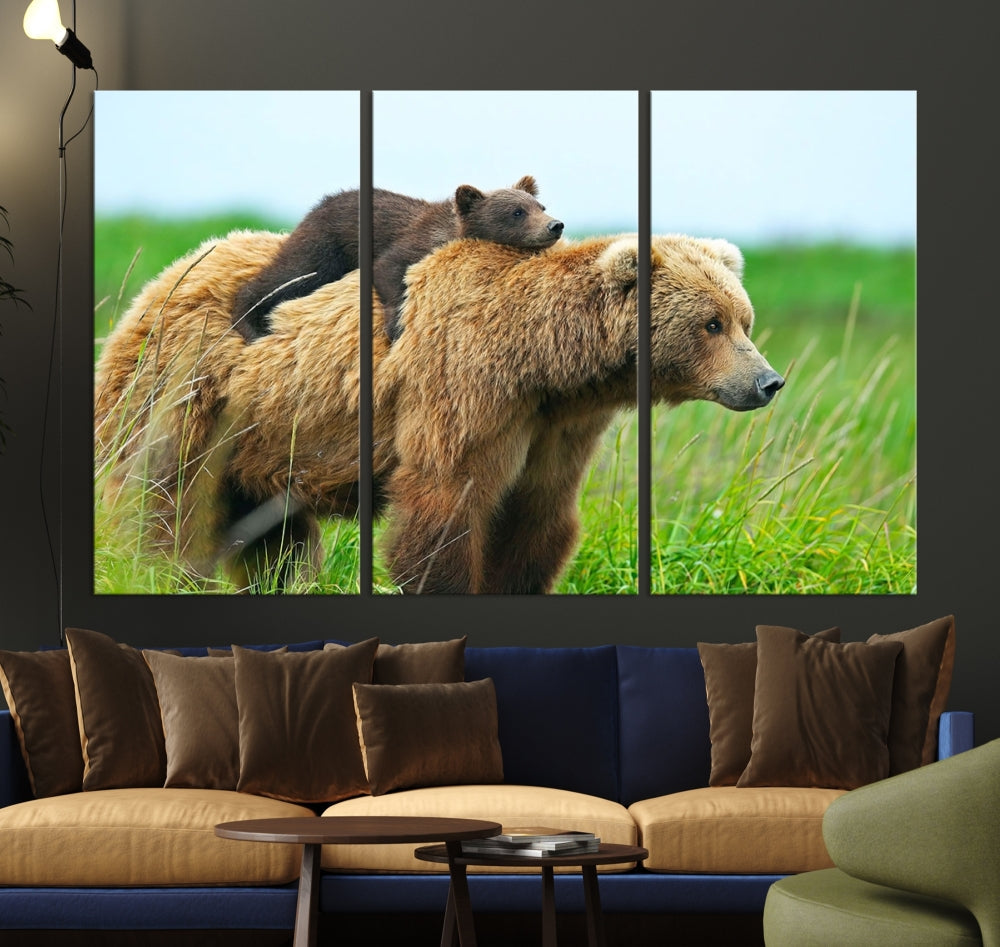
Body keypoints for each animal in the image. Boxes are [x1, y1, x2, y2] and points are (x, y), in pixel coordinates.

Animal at [94, 229, 784, 594]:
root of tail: (158, 281)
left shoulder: (555, 427)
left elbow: (536, 517)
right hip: (186, 392)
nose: (768, 381)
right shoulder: (464, 389)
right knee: (161, 497)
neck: (543, 363)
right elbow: (446, 503)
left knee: (272, 535)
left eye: (744, 319)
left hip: (262, 443)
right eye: (712, 323)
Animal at [230, 175, 564, 344]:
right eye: (517, 212)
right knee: (291, 274)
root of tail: (320, 204)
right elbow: (389, 269)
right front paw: (396, 326)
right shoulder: (412, 242)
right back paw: (249, 325)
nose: (555, 225)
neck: (450, 231)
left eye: (540, 206)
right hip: (326, 244)